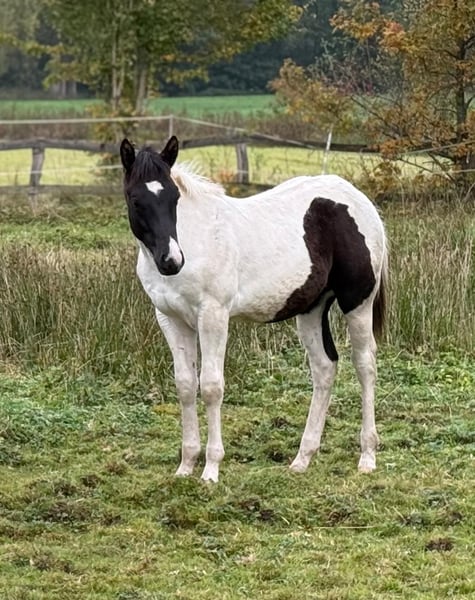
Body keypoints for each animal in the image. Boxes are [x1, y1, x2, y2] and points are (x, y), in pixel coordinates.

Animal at [120, 135, 388, 483]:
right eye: (135, 199)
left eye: (174, 198)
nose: (172, 261)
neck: (197, 238)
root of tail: (361, 201)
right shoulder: (170, 319)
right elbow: (185, 386)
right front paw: (186, 466)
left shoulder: (213, 315)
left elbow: (211, 387)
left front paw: (210, 470)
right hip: (311, 309)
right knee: (325, 367)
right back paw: (303, 458)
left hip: (358, 303)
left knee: (365, 365)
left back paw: (367, 457)